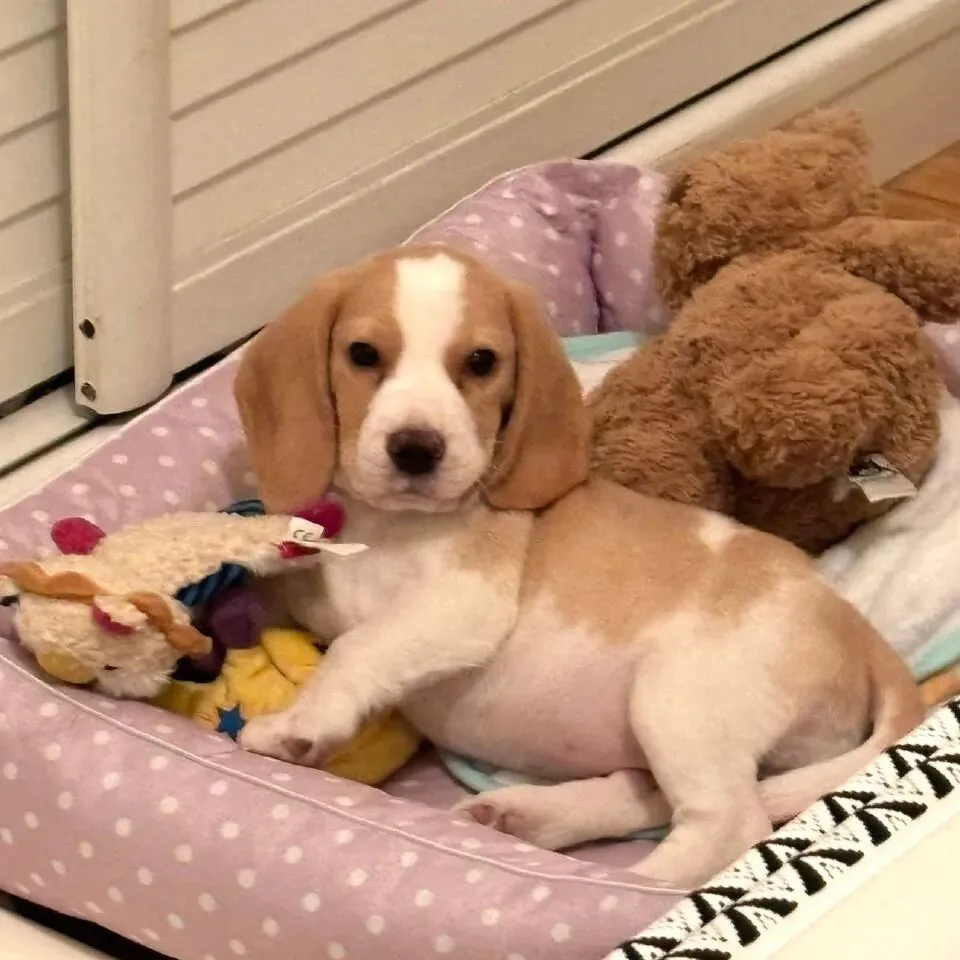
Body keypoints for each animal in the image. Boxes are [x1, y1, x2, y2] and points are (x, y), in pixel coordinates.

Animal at [233, 245, 923, 888]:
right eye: (362, 354)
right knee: (650, 793)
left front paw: (298, 725)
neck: (387, 526)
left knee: (730, 822)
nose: (416, 450)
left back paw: (630, 887)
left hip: (678, 700)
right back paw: (531, 816)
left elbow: (358, 646)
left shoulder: (461, 604)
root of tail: (856, 628)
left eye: (481, 363)